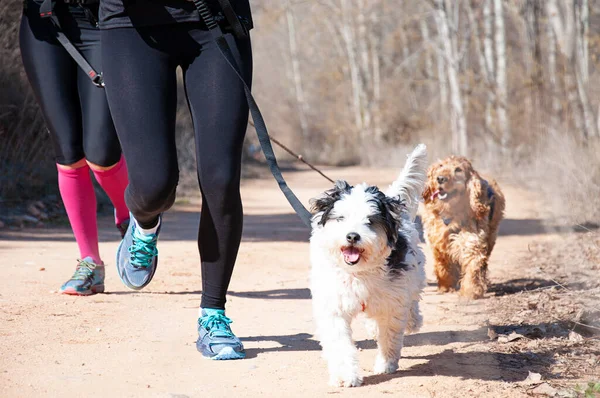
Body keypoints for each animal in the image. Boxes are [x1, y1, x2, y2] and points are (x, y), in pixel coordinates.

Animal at [310, 145, 426, 388]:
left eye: (370, 221)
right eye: (341, 218)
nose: (352, 236)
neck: (359, 272)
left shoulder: (393, 298)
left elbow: (390, 334)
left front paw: (386, 364)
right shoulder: (334, 305)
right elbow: (339, 343)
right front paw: (345, 375)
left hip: (413, 276)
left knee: (411, 303)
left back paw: (413, 320)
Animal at [420, 157, 504, 296]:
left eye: (458, 170)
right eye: (440, 166)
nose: (440, 178)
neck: (450, 210)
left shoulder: (472, 241)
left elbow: (472, 265)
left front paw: (470, 291)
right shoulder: (437, 242)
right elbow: (442, 265)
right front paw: (446, 286)